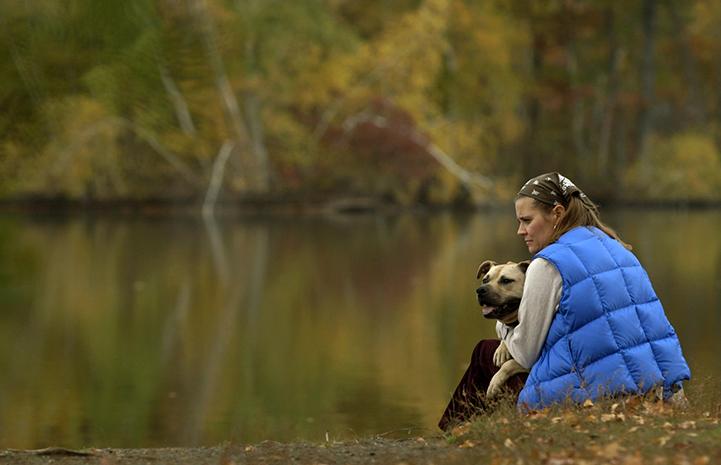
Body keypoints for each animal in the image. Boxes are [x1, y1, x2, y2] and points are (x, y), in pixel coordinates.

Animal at [476, 260, 532, 396]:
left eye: (506, 280)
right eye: (485, 280)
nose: (480, 290)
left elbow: (509, 364)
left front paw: (495, 381)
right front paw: (502, 348)